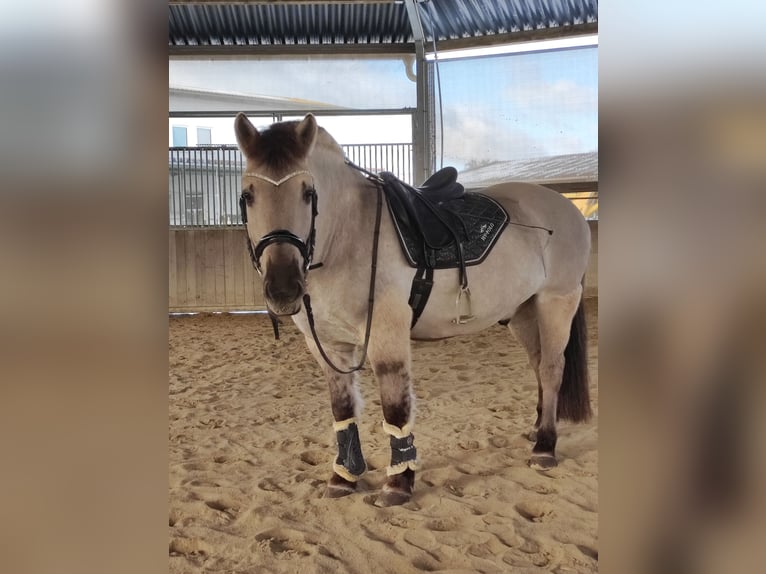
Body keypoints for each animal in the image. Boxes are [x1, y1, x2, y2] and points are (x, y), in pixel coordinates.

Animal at [234, 112, 592, 507]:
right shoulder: (328, 346)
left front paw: (399, 482)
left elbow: (395, 407)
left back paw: (545, 447)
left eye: (308, 193)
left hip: (556, 302)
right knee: (539, 367)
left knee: (552, 369)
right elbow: (343, 409)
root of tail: (568, 210)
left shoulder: (386, 335)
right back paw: (538, 430)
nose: (283, 288)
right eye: (248, 195)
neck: (347, 235)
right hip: (524, 312)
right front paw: (343, 477)